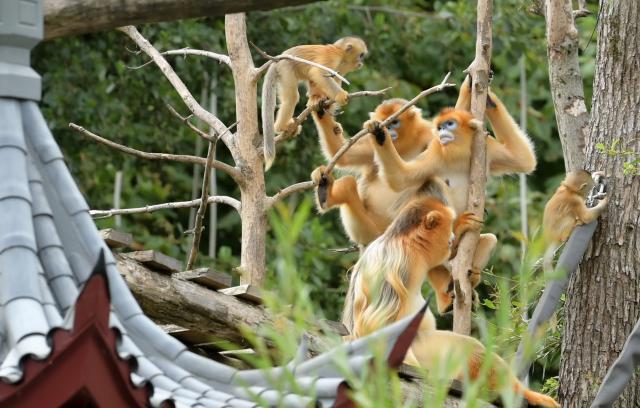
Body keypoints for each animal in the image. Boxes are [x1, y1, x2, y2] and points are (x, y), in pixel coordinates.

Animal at [261, 37, 368, 170]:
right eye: (361, 55)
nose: (361, 62)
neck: (341, 53)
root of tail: (277, 60)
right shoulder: (333, 57)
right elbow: (318, 72)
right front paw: (340, 96)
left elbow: (322, 79)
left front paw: (326, 106)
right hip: (286, 68)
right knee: (292, 97)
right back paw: (280, 127)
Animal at [310, 97, 496, 313]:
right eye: (388, 122)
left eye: (395, 122)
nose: (389, 131)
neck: (404, 146)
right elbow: (346, 154)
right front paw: (321, 109)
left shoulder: (431, 138)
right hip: (367, 230)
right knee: (349, 185)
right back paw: (325, 192)